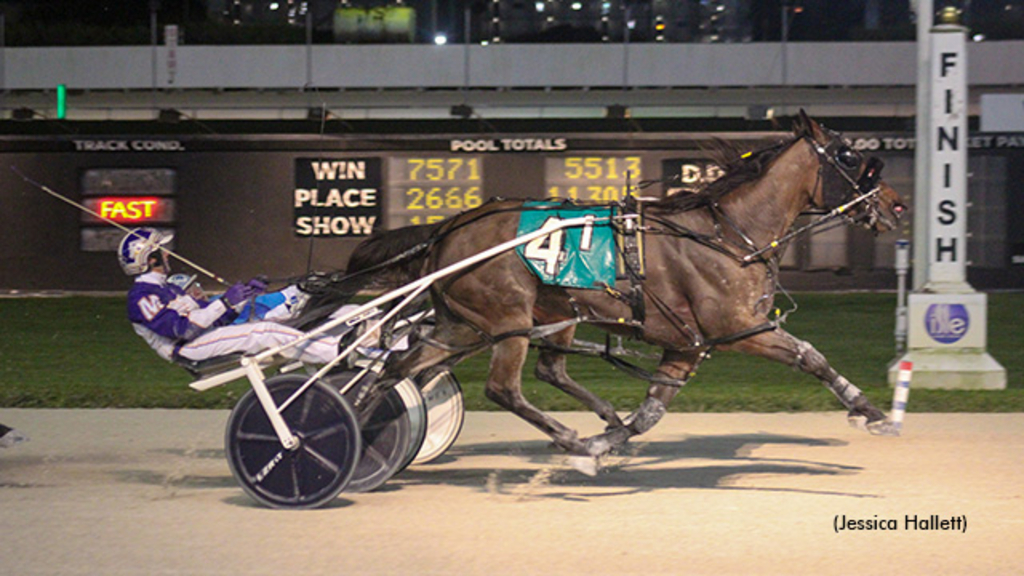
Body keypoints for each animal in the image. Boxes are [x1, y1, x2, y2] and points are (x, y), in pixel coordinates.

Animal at [333, 111, 905, 467]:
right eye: (850, 157)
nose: (896, 204)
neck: (728, 233)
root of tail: (448, 227)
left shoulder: (686, 345)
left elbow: (650, 413)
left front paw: (607, 439)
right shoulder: (740, 327)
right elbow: (810, 356)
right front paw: (873, 413)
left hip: (471, 324)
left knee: (398, 368)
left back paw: (354, 430)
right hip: (508, 318)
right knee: (502, 387)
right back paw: (562, 433)